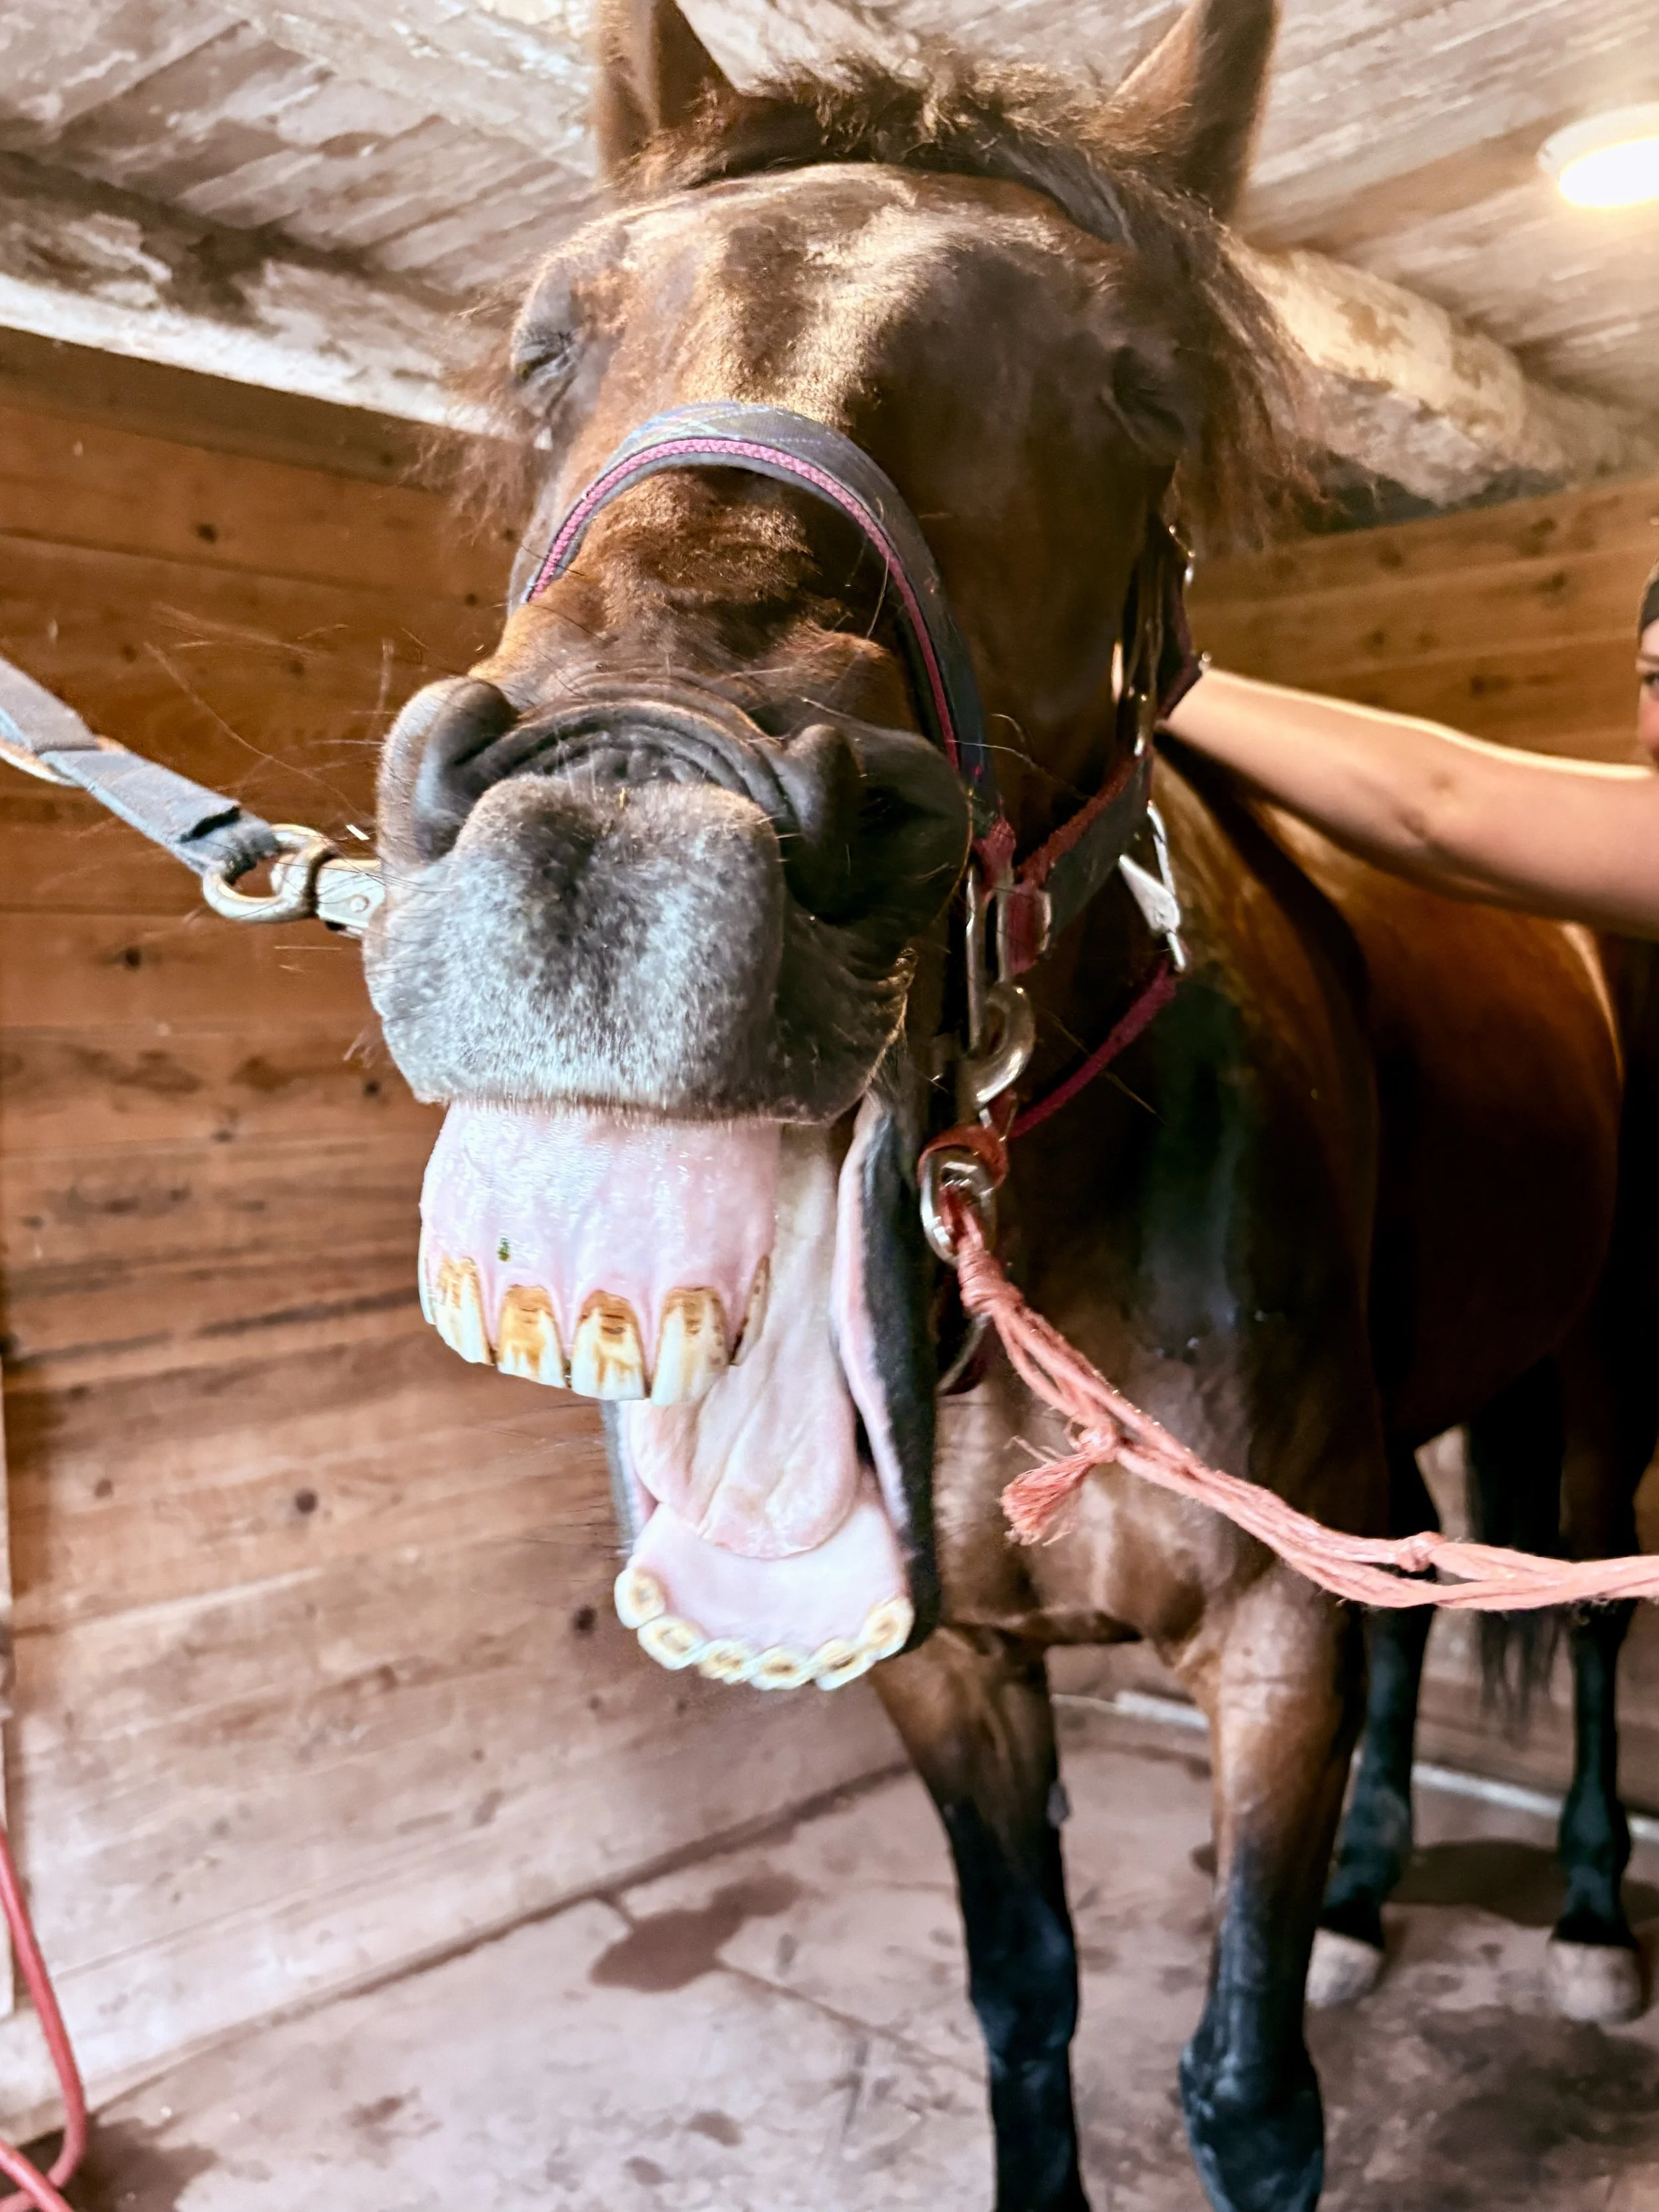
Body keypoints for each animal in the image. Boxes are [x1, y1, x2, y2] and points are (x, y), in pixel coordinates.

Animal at [363, 3, 1635, 2205]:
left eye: (1135, 388)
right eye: (544, 338)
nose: (618, 841)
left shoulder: (1262, 1641)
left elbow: (1244, 2086)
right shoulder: (949, 1658)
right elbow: (1020, 2002)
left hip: (1596, 1390)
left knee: (1576, 1627)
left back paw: (1574, 1915)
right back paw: (1371, 1892)